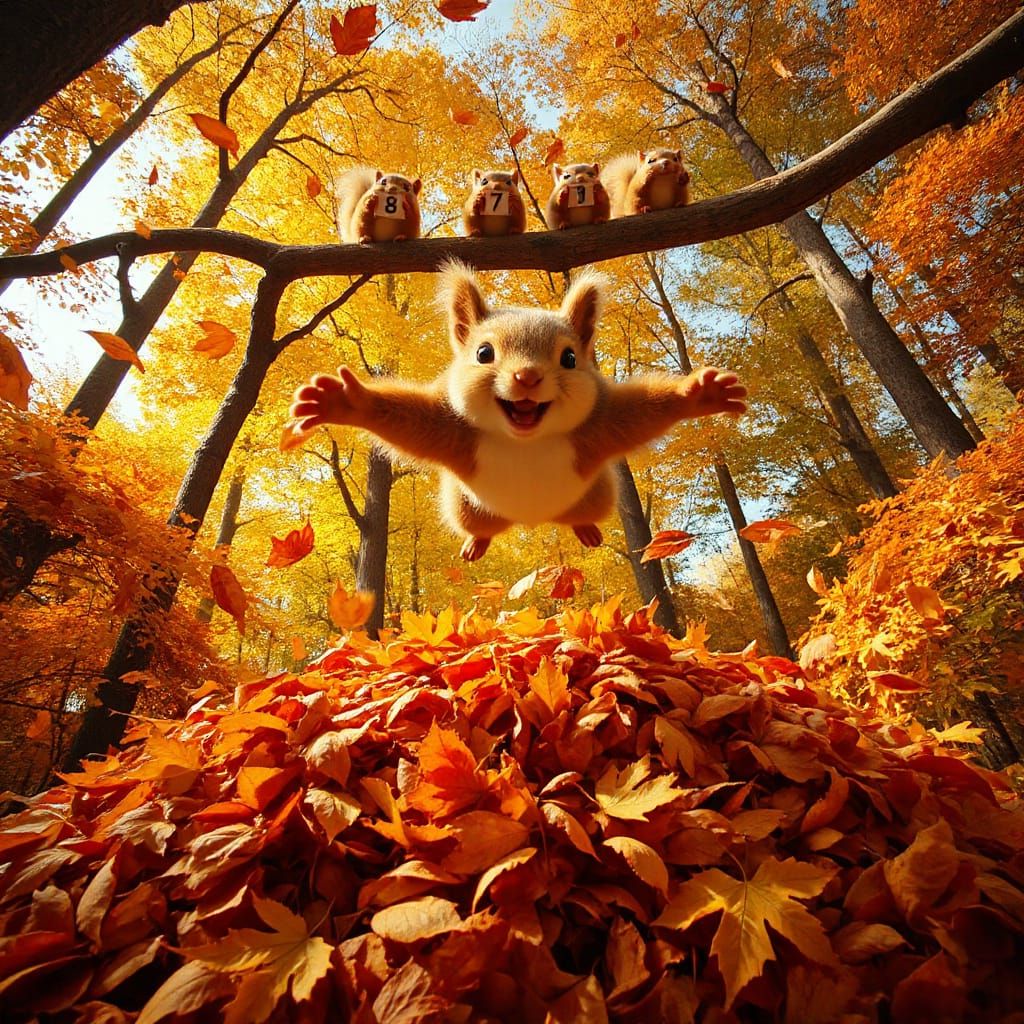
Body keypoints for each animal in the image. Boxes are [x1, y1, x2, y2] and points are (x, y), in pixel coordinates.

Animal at [289, 262, 746, 561]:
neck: (525, 440)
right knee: (481, 527)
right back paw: (476, 543)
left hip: (593, 497)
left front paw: (700, 393)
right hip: (468, 508)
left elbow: (639, 414)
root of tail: (530, 520)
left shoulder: (597, 428)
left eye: (569, 358)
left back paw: (585, 530)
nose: (527, 376)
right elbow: (410, 420)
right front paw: (343, 400)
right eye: (483, 353)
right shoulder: (452, 431)